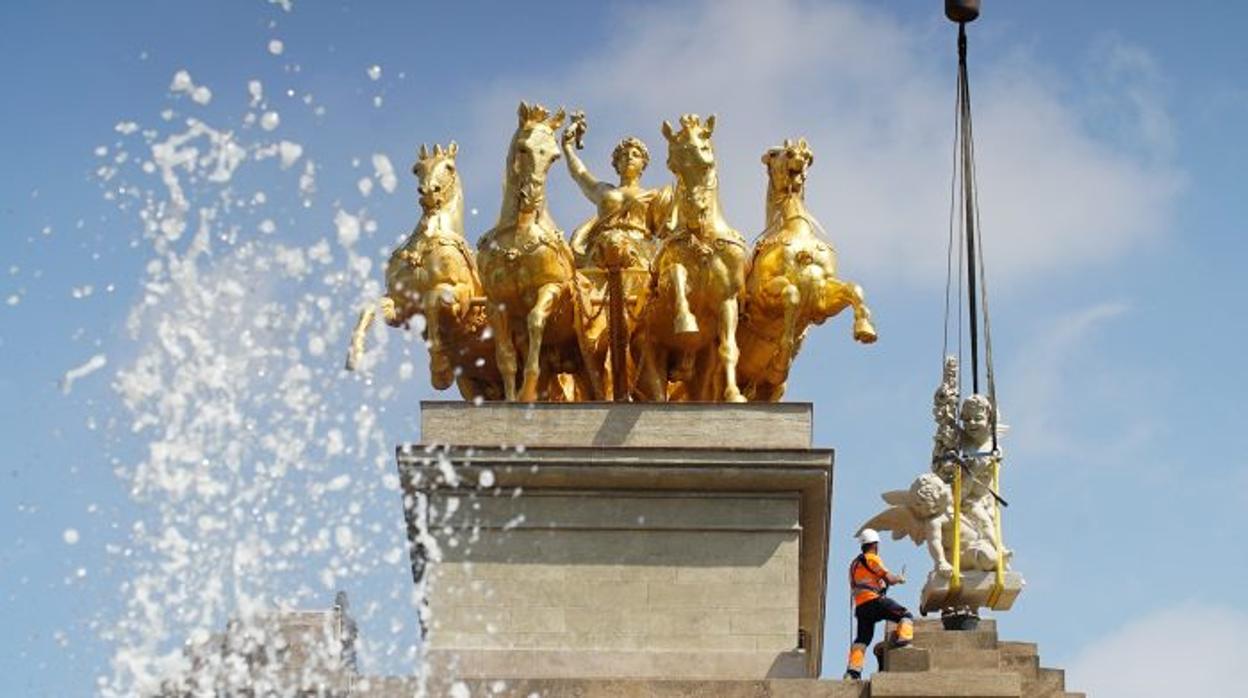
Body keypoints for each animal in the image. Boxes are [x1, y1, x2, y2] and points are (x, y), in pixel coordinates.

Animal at [346, 141, 501, 399]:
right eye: (416, 169)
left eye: (449, 167)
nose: (429, 192)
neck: (428, 241)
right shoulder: (401, 305)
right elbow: (369, 308)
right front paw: (354, 355)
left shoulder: (457, 297)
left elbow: (432, 300)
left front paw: (439, 368)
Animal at [474, 101, 601, 402]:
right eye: (523, 148)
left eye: (554, 157)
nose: (532, 196)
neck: (519, 234)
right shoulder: (496, 303)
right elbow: (506, 357)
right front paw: (513, 397)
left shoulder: (552, 288)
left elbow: (535, 320)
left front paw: (527, 387)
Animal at [638, 111, 743, 402]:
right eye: (673, 166)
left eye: (706, 161)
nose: (696, 212)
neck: (704, 241)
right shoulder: (665, 286)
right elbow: (677, 274)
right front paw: (685, 322)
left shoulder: (727, 301)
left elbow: (729, 348)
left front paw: (734, 394)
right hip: (649, 357)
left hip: (702, 368)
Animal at [738, 139, 878, 402]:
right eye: (775, 153)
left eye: (808, 156)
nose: (799, 155)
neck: (797, 232)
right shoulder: (763, 296)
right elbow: (791, 295)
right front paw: (781, 359)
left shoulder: (821, 297)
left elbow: (854, 289)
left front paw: (865, 330)